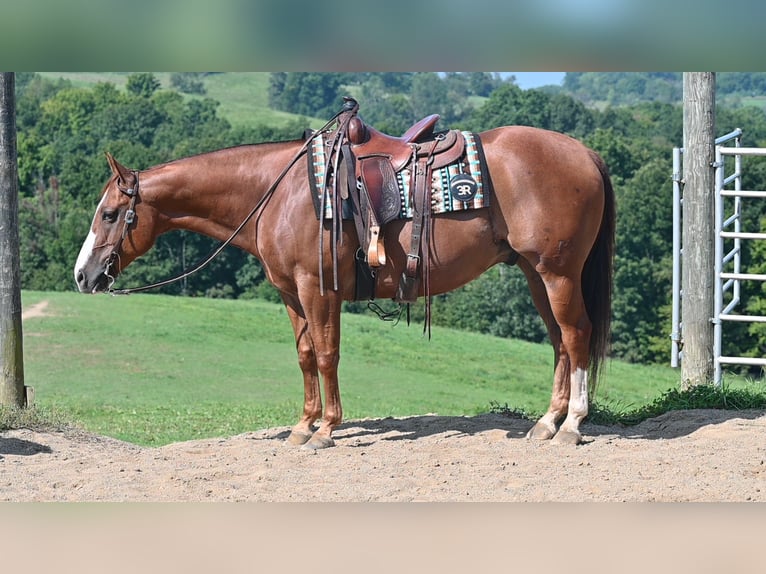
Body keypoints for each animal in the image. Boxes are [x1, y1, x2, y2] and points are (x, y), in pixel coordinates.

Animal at [73, 109, 615, 449]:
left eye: (109, 213)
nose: (82, 276)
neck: (280, 192)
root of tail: (586, 153)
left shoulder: (318, 289)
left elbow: (327, 355)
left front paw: (327, 429)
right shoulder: (290, 294)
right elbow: (305, 356)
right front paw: (303, 424)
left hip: (557, 273)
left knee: (576, 335)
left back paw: (572, 426)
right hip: (534, 273)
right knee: (560, 341)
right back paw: (547, 423)